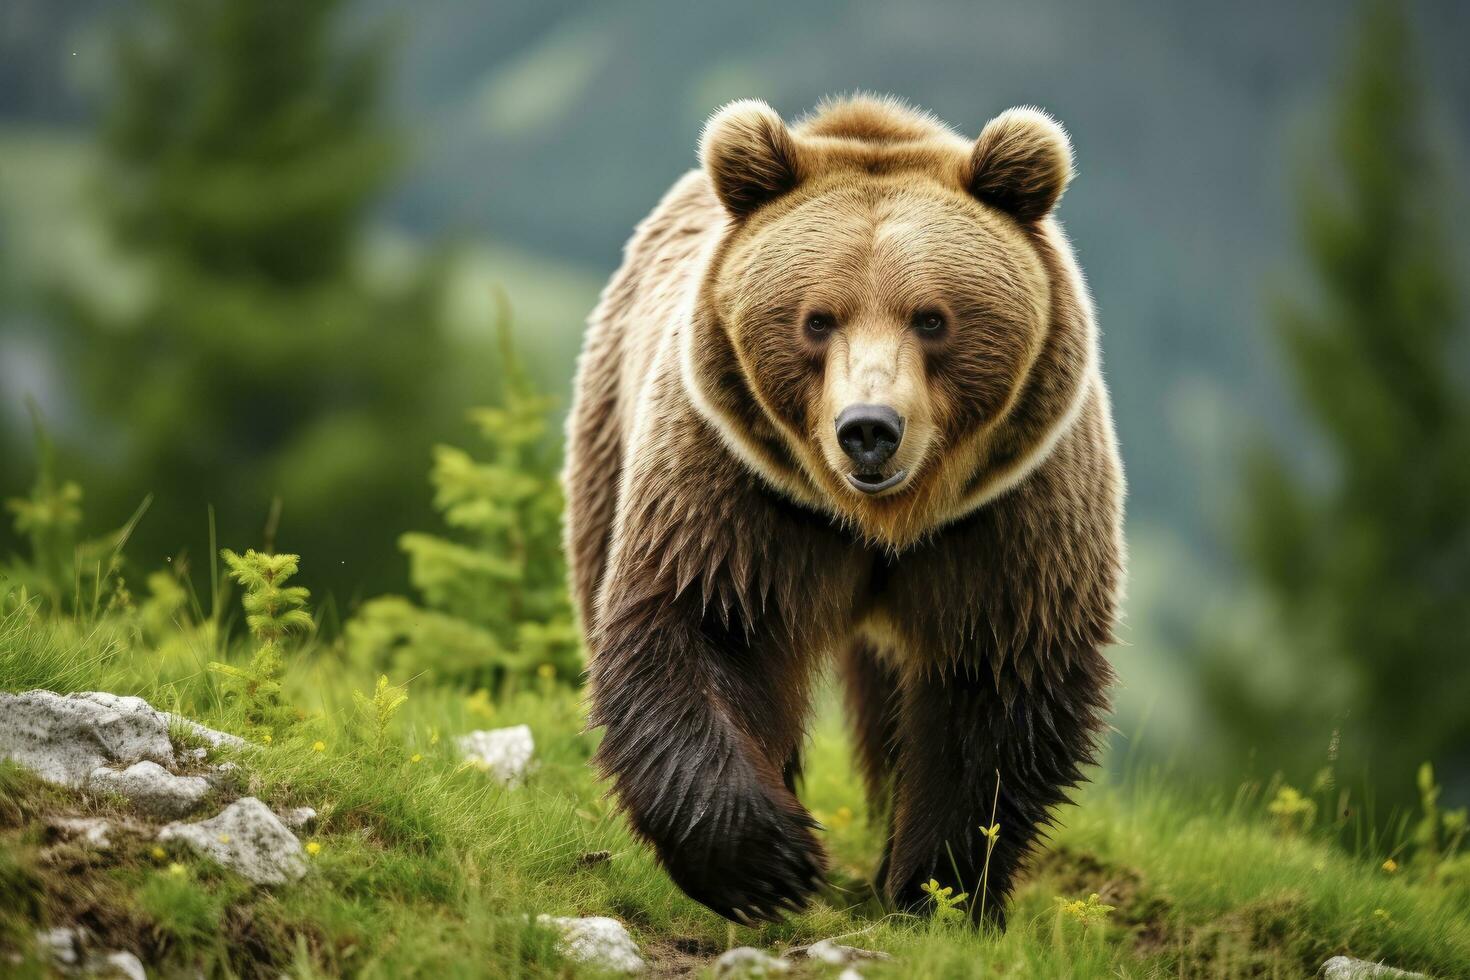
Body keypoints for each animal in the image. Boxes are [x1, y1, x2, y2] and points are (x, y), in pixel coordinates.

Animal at [567, 91, 1117, 928]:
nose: (868, 429)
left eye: (932, 317)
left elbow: (998, 679)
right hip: (614, 427)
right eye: (817, 319)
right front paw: (769, 864)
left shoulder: (1011, 513)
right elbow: (699, 627)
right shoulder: (738, 490)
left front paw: (937, 887)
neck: (884, 525)